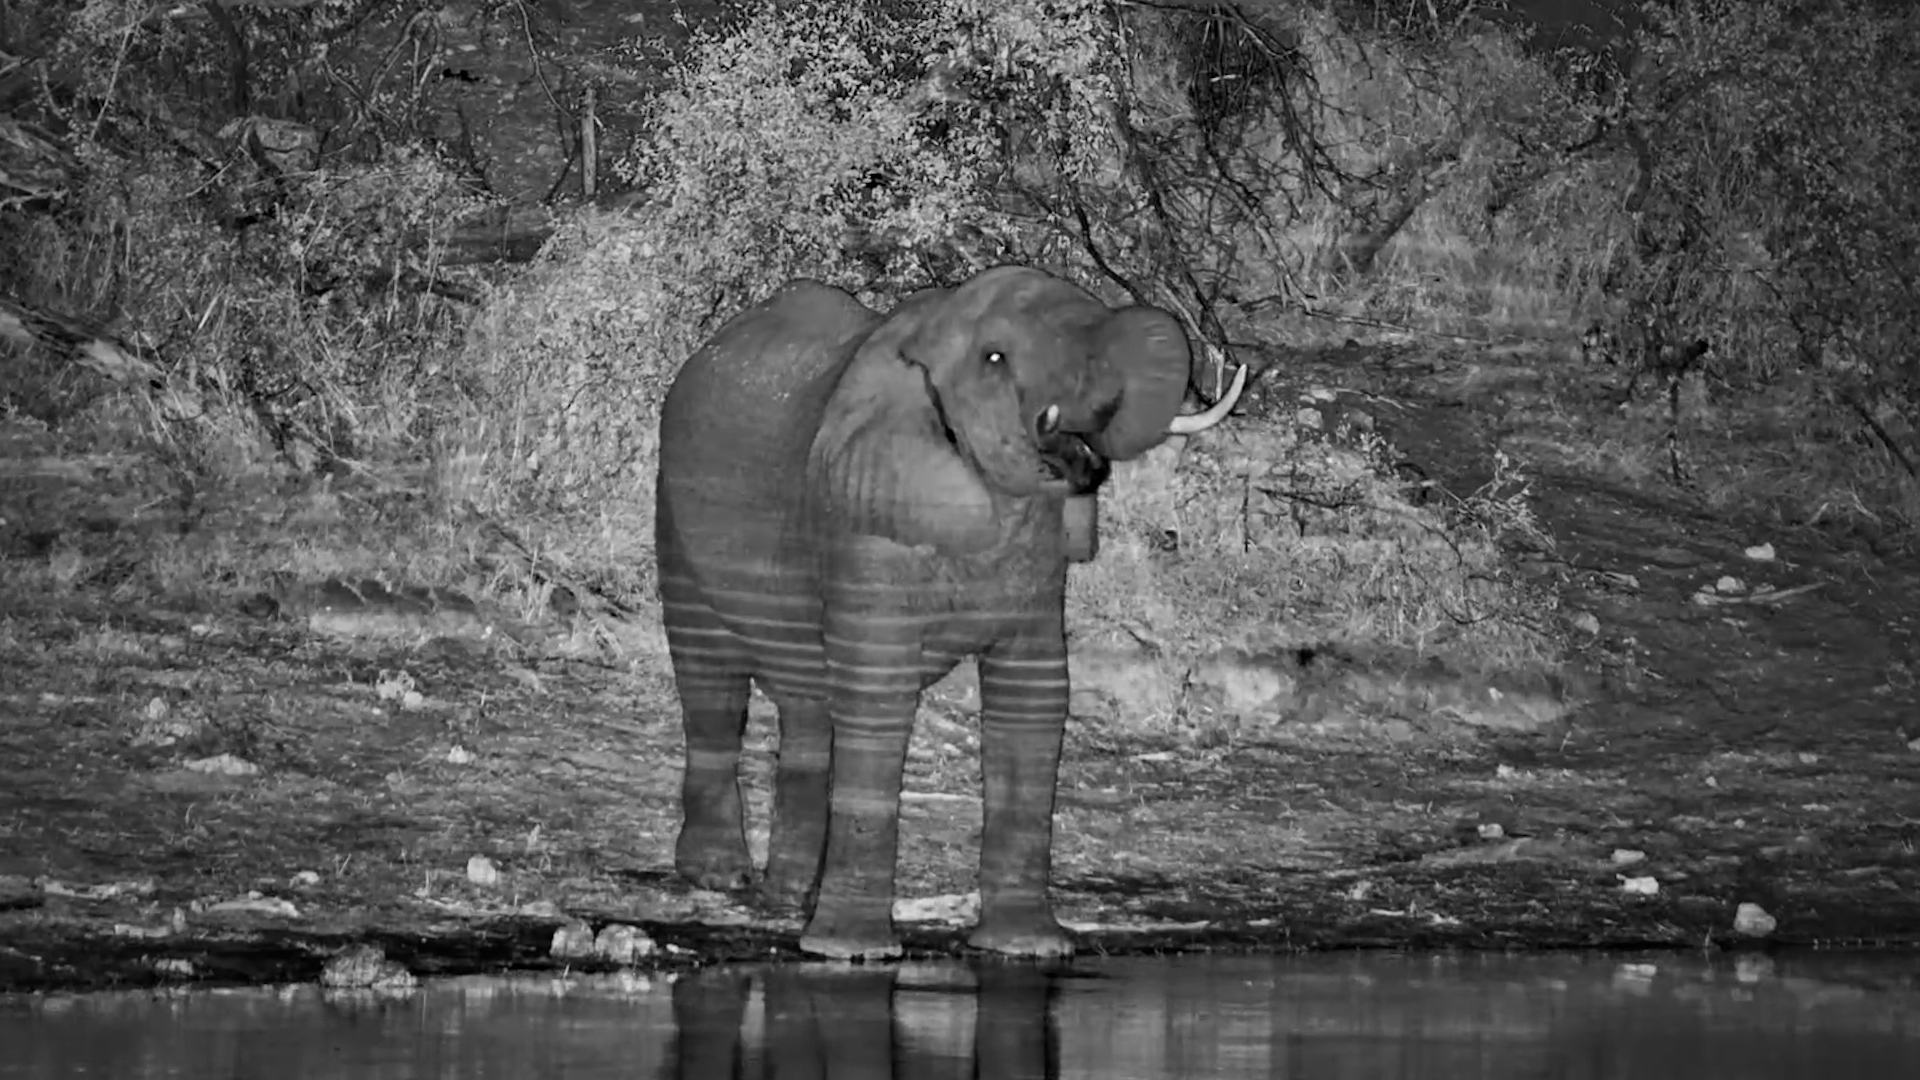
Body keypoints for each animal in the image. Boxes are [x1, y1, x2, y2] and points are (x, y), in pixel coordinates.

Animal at [655, 265, 1245, 960]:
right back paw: (721, 878)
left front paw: (1029, 949)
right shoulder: (866, 522)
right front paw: (853, 954)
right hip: (674, 516)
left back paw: (790, 899)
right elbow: (879, 696)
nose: (1080, 448)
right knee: (712, 690)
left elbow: (1036, 700)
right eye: (995, 359)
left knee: (808, 708)